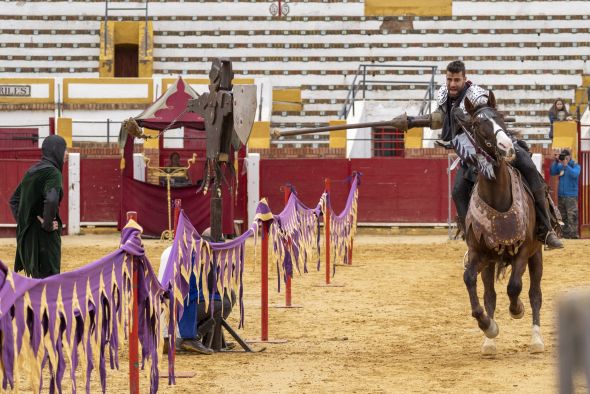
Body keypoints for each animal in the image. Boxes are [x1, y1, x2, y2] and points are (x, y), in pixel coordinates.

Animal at [462, 94, 544, 356]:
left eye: (500, 117)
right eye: (477, 124)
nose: (507, 147)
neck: (497, 197)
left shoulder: (524, 251)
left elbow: (515, 287)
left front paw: (517, 309)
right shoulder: (478, 253)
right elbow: (470, 281)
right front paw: (487, 325)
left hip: (537, 255)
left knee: (535, 293)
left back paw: (536, 339)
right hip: (490, 263)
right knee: (490, 294)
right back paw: (489, 343)